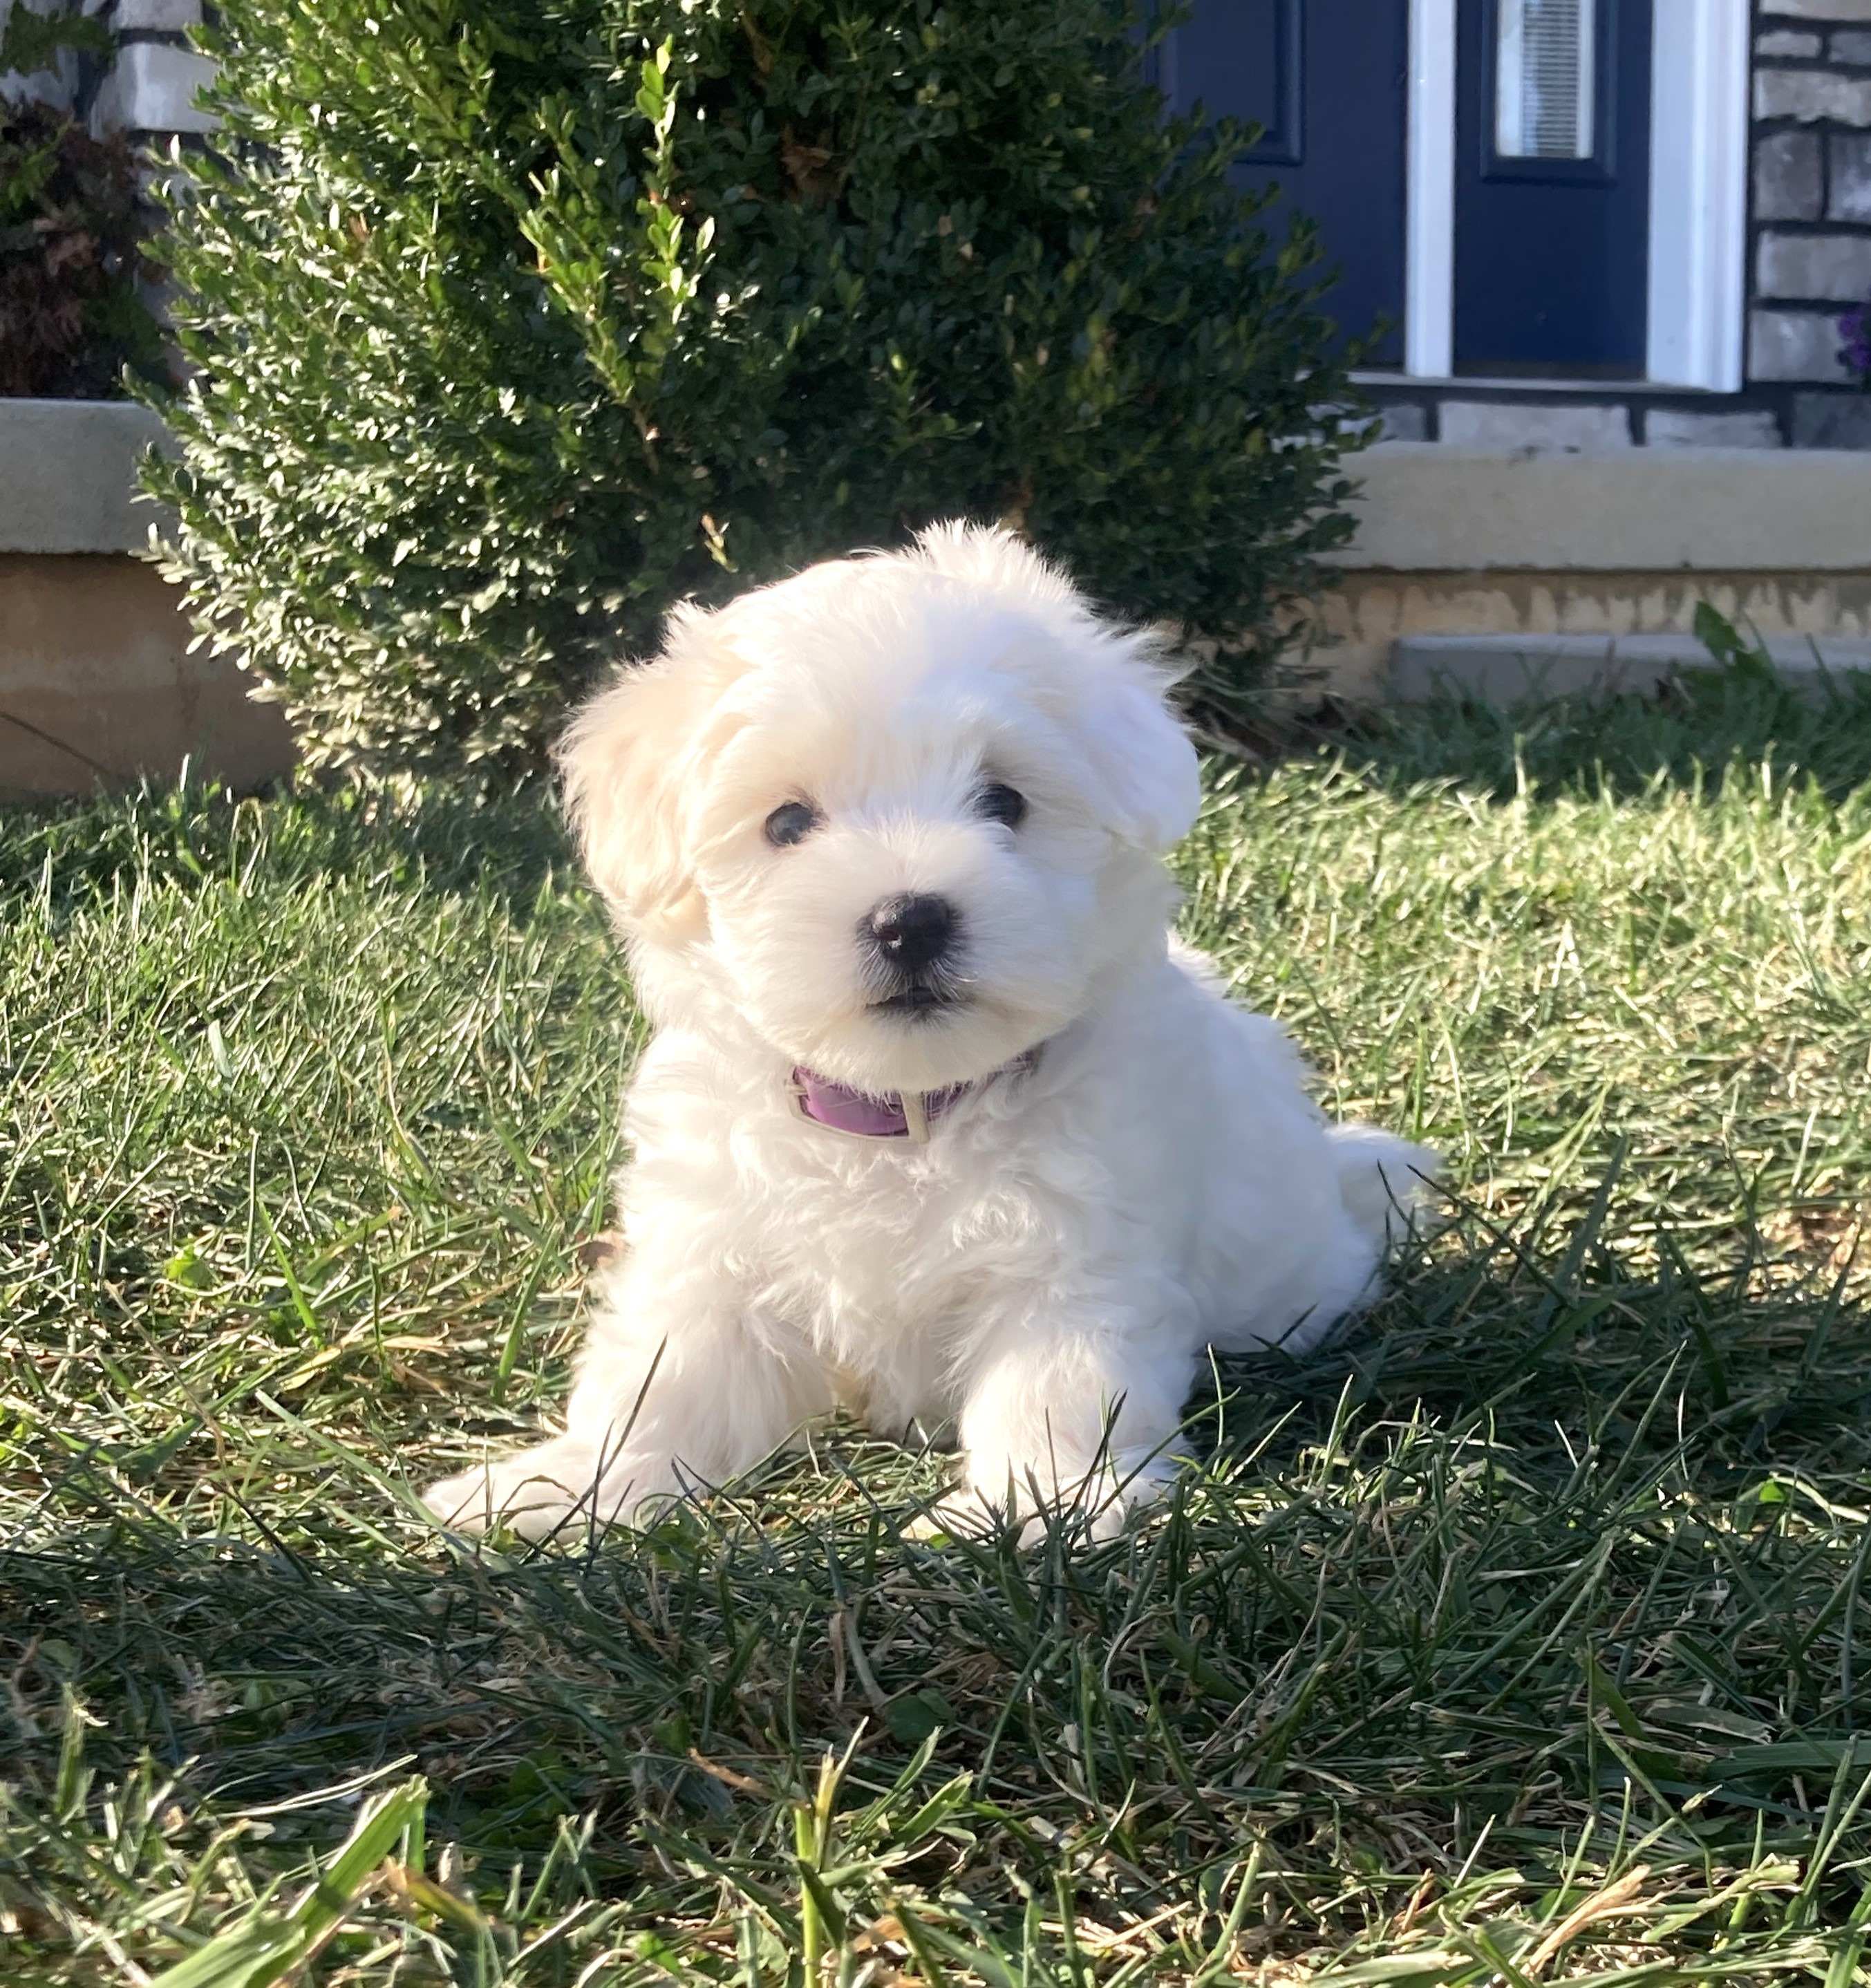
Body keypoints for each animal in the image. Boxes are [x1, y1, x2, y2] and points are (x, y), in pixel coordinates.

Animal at [427, 525, 1431, 1535]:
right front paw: (561, 1486)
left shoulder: (1075, 1262)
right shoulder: (716, 1247)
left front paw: (1027, 1513)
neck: (902, 1112)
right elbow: (664, 1380)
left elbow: (1052, 1391)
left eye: (1005, 801)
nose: (908, 921)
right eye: (785, 821)